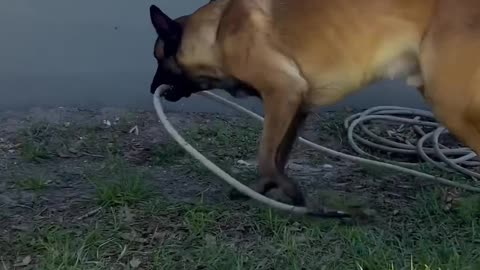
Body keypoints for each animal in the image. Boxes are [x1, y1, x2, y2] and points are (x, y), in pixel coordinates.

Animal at [148, 0, 480, 207]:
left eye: (158, 57)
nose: (151, 88)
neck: (216, 34)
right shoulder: (297, 107)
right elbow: (277, 156)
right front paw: (264, 190)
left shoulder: (283, 93)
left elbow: (265, 155)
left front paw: (287, 192)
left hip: (451, 106)